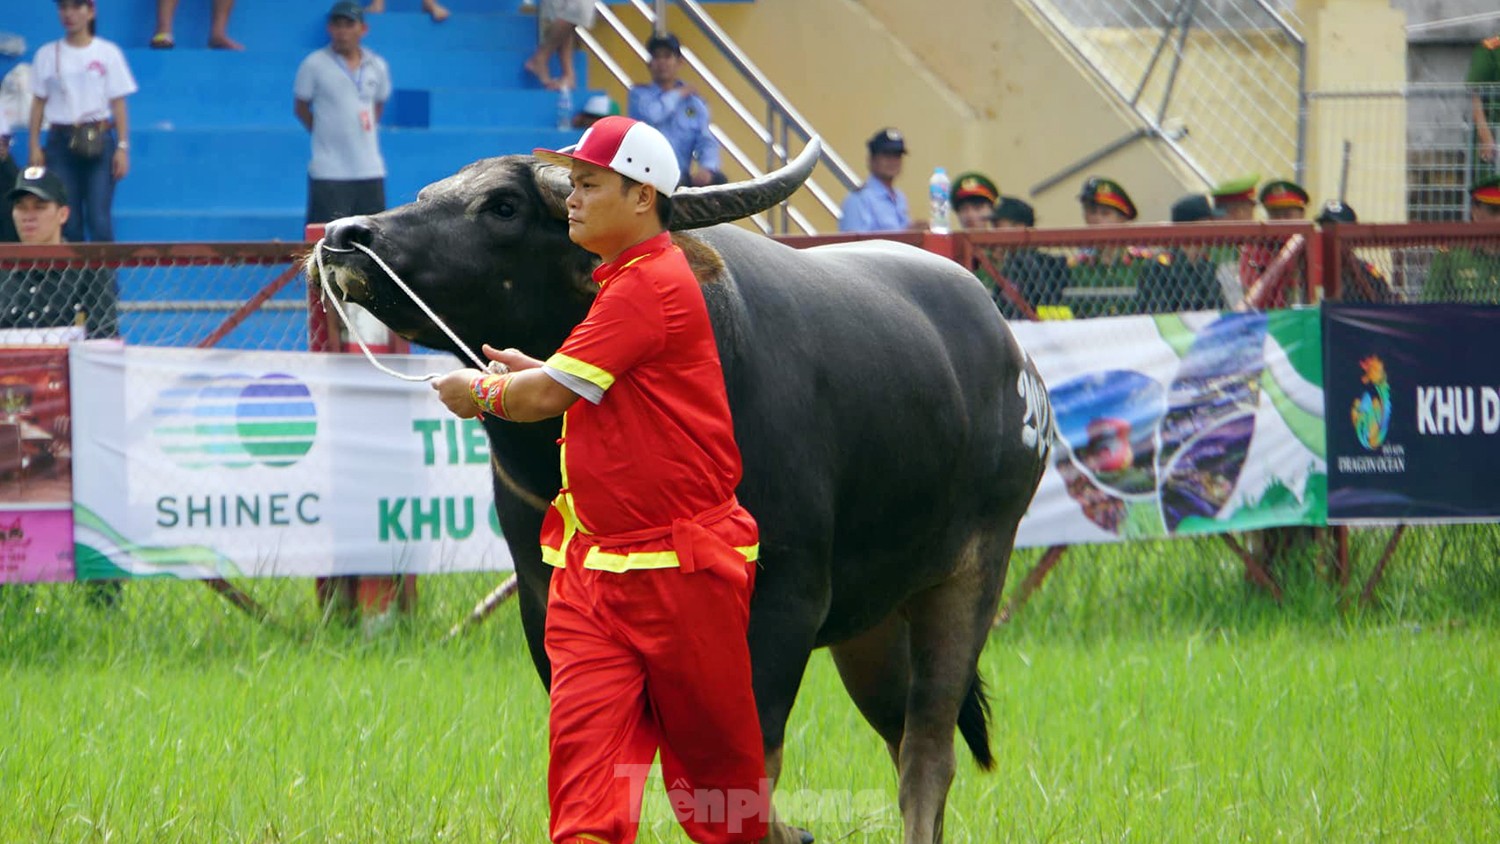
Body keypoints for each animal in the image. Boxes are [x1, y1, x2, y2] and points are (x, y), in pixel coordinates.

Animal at [310, 141, 1050, 839]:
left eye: (503, 206)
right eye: (427, 192)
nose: (345, 235)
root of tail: (1014, 358)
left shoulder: (785, 600)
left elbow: (740, 772)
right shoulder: (545, 604)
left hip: (971, 573)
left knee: (928, 750)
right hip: (874, 622)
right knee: (900, 734)